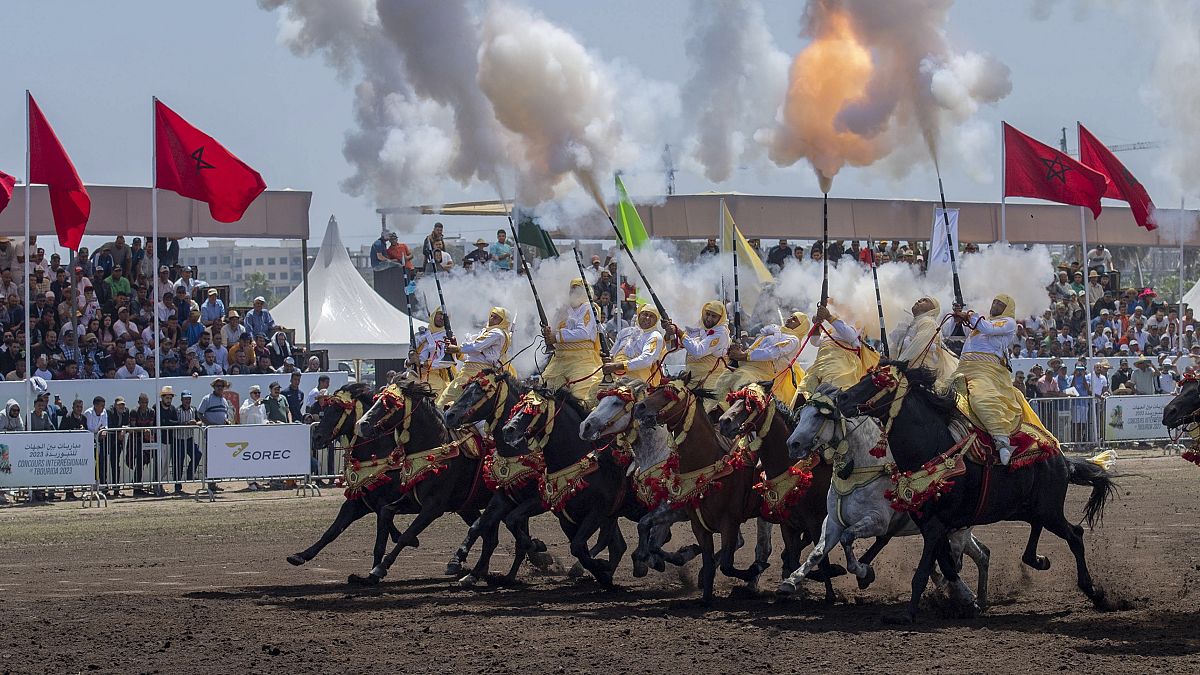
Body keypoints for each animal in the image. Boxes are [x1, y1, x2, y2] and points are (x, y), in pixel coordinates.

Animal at [777, 381, 993, 607]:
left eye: (819, 416)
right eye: (801, 415)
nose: (793, 444)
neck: (858, 471)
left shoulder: (877, 521)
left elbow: (848, 539)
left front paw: (865, 573)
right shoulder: (832, 522)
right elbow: (817, 552)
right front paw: (791, 581)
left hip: (956, 529)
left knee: (957, 560)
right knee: (979, 554)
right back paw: (976, 597)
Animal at [825, 362, 1113, 619]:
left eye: (878, 381)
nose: (842, 397)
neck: (933, 451)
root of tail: (1062, 458)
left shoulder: (936, 526)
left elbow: (925, 572)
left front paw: (908, 614)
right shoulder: (931, 524)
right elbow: (947, 567)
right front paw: (967, 602)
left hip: (1049, 510)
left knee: (1075, 536)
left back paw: (1096, 593)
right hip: (1028, 509)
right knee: (1038, 533)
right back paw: (1040, 560)